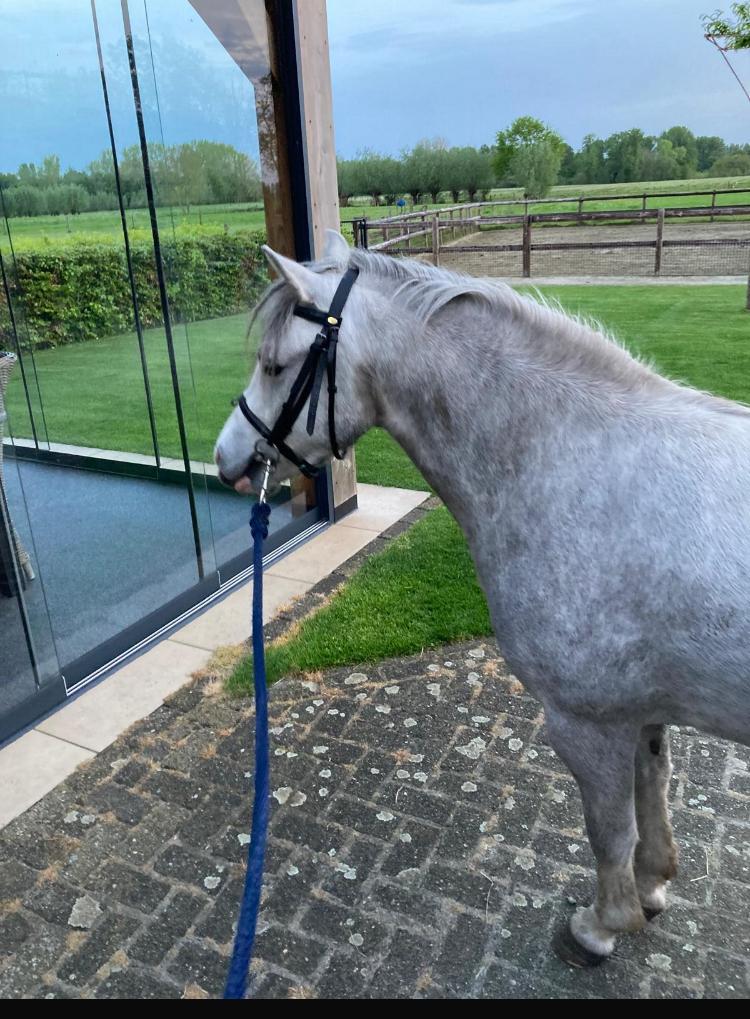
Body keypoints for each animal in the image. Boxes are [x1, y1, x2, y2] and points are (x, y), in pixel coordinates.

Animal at [215, 229, 750, 967]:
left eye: (273, 365)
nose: (227, 459)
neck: (572, 463)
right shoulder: (639, 711)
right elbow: (652, 799)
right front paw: (652, 888)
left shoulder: (587, 722)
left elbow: (608, 829)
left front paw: (602, 926)